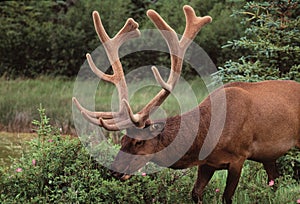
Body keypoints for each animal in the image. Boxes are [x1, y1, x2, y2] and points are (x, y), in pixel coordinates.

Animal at [73, 4, 300, 204]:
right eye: (122, 140)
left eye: (139, 142)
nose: (113, 170)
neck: (206, 136)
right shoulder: (207, 164)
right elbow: (195, 194)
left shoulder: (239, 157)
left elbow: (226, 197)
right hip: (268, 156)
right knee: (275, 182)